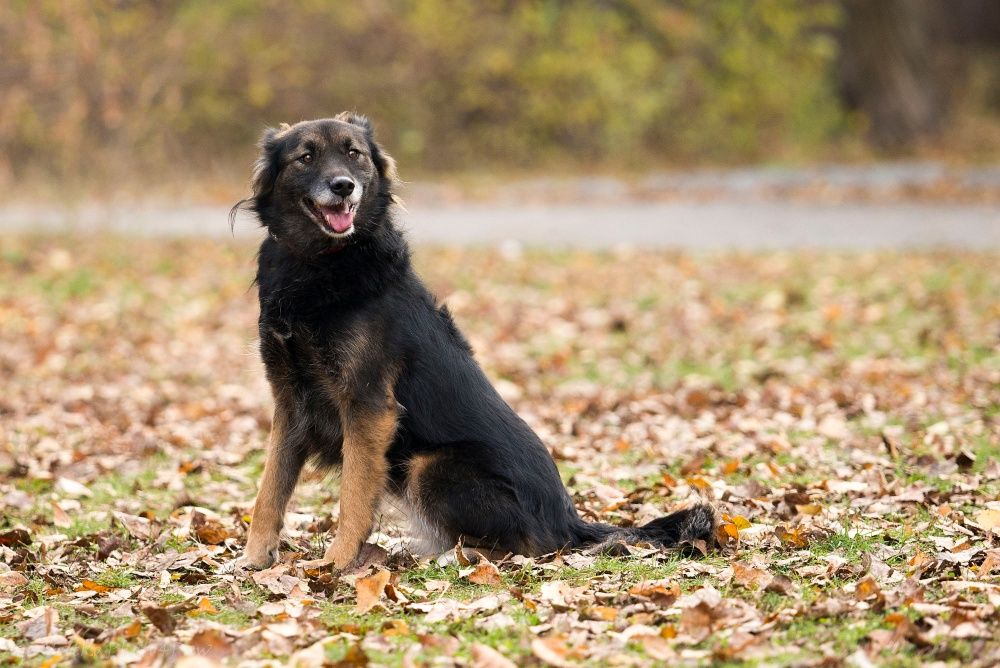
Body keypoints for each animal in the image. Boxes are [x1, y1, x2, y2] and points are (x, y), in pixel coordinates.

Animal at [234, 111, 720, 568]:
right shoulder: (289, 401)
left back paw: (451, 556)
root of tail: (569, 521)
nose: (343, 187)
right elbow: (269, 488)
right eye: (306, 156)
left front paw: (334, 564)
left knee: (523, 548)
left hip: (429, 467)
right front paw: (254, 559)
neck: (319, 264)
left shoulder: (368, 405)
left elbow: (353, 497)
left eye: (354, 154)